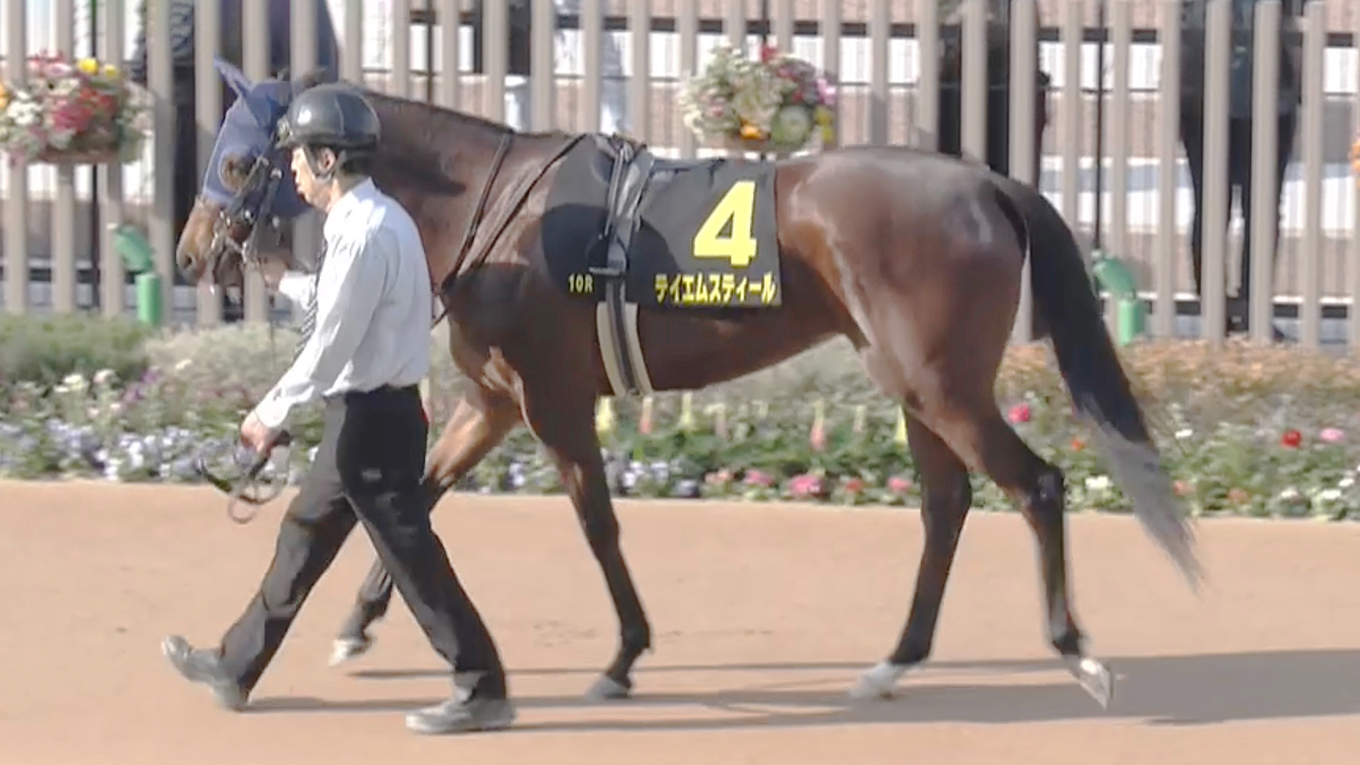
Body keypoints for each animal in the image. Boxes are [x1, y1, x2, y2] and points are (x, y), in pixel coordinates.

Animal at [174, 59, 1200, 709]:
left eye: (236, 159)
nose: (189, 253)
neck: (497, 207)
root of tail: (989, 183)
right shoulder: (494, 397)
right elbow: (411, 499)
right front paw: (353, 626)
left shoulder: (552, 400)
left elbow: (595, 523)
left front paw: (623, 656)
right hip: (916, 386)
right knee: (946, 506)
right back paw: (892, 664)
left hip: (941, 382)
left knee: (1037, 485)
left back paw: (1075, 653)